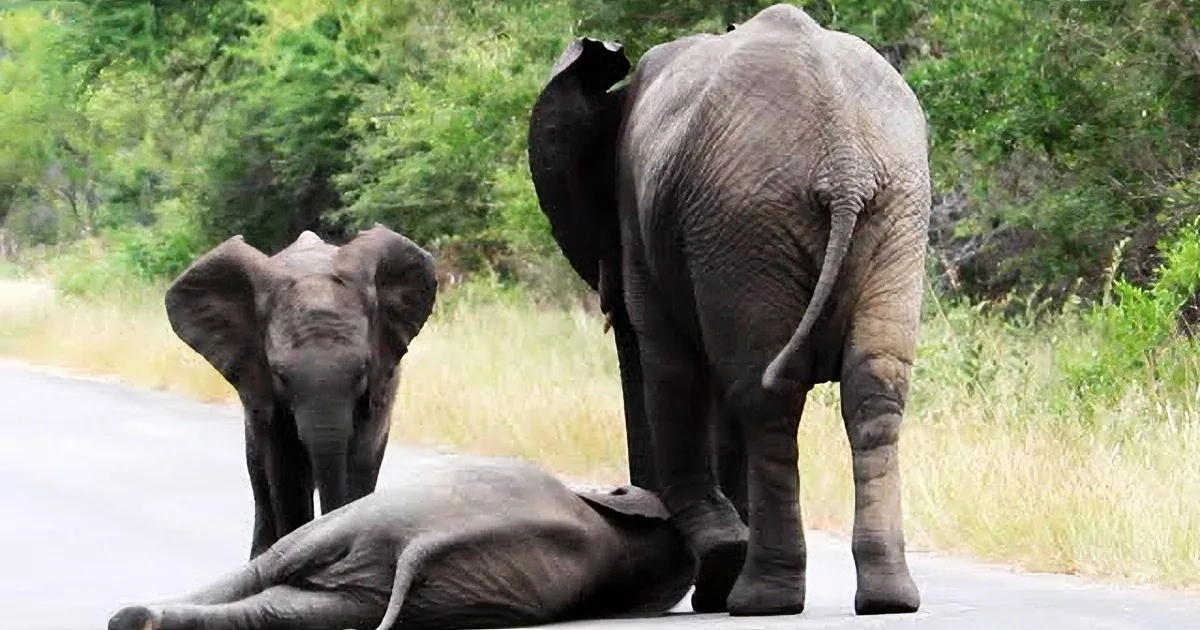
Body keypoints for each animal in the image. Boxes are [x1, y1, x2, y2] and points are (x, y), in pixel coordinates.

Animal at [527, 3, 931, 618]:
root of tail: (843, 160)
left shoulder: (643, 223)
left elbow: (669, 371)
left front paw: (717, 569)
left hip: (752, 221)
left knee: (762, 394)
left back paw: (759, 598)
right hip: (885, 215)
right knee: (873, 391)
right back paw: (887, 600)